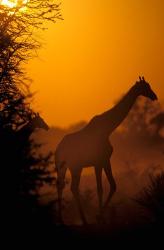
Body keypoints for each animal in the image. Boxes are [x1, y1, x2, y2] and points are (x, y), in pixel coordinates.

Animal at [55, 76, 158, 225]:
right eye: (146, 86)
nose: (154, 96)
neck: (108, 128)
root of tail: (58, 150)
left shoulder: (102, 161)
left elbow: (109, 186)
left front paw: (100, 217)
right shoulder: (101, 161)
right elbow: (104, 187)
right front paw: (99, 217)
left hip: (65, 167)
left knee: (62, 186)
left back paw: (64, 220)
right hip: (75, 166)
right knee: (72, 187)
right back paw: (83, 220)